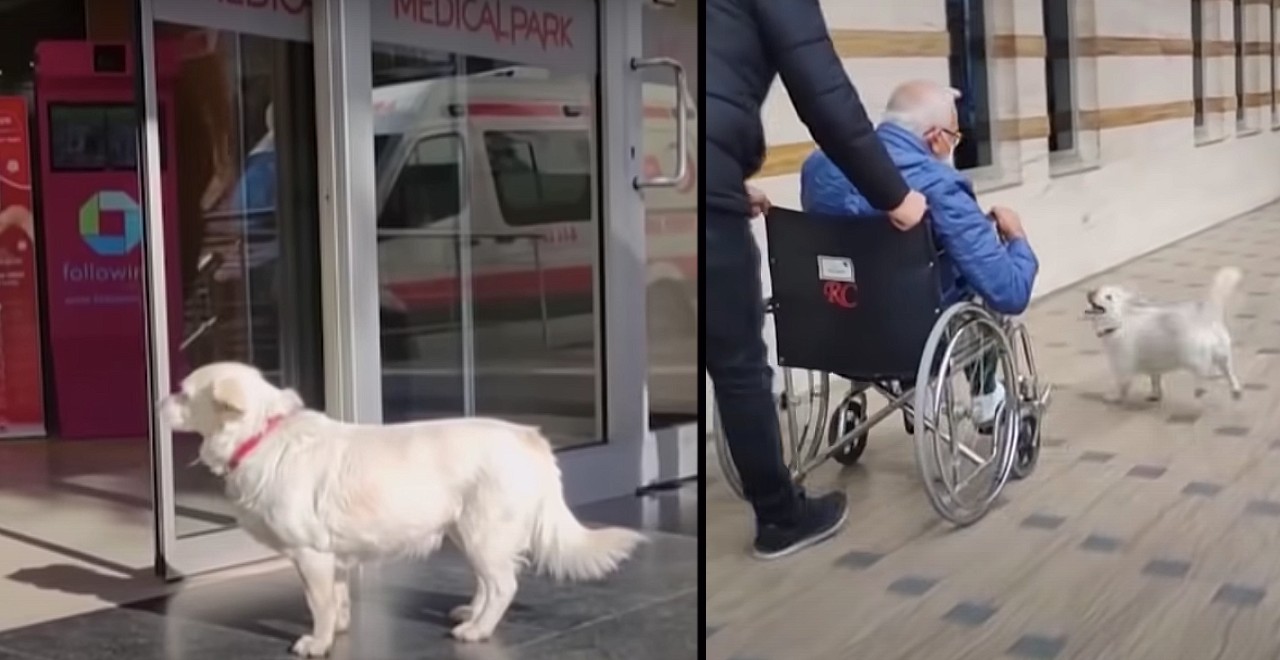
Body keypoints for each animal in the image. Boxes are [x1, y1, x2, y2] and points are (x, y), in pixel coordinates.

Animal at [165, 363, 645, 654]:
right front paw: (339, 629)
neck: (263, 435)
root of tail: (530, 438)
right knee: (487, 583)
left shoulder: (310, 555)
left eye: (184, 394)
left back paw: (478, 630)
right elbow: (337, 599)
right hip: (465, 533)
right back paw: (471, 613)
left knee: (503, 585)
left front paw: (317, 642)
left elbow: (319, 603)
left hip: (483, 533)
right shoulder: (333, 556)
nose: (158, 401)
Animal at [1085, 267, 1244, 401]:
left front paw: (1113, 396)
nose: (1090, 291)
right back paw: (1235, 390)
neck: (1121, 320)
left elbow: (1121, 383)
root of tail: (1208, 315)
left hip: (1191, 355)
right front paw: (1155, 394)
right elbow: (1155, 380)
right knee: (1228, 372)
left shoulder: (1122, 364)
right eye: (1099, 289)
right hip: (1223, 354)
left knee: (1203, 370)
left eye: (1109, 297)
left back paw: (1200, 387)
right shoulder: (1153, 366)